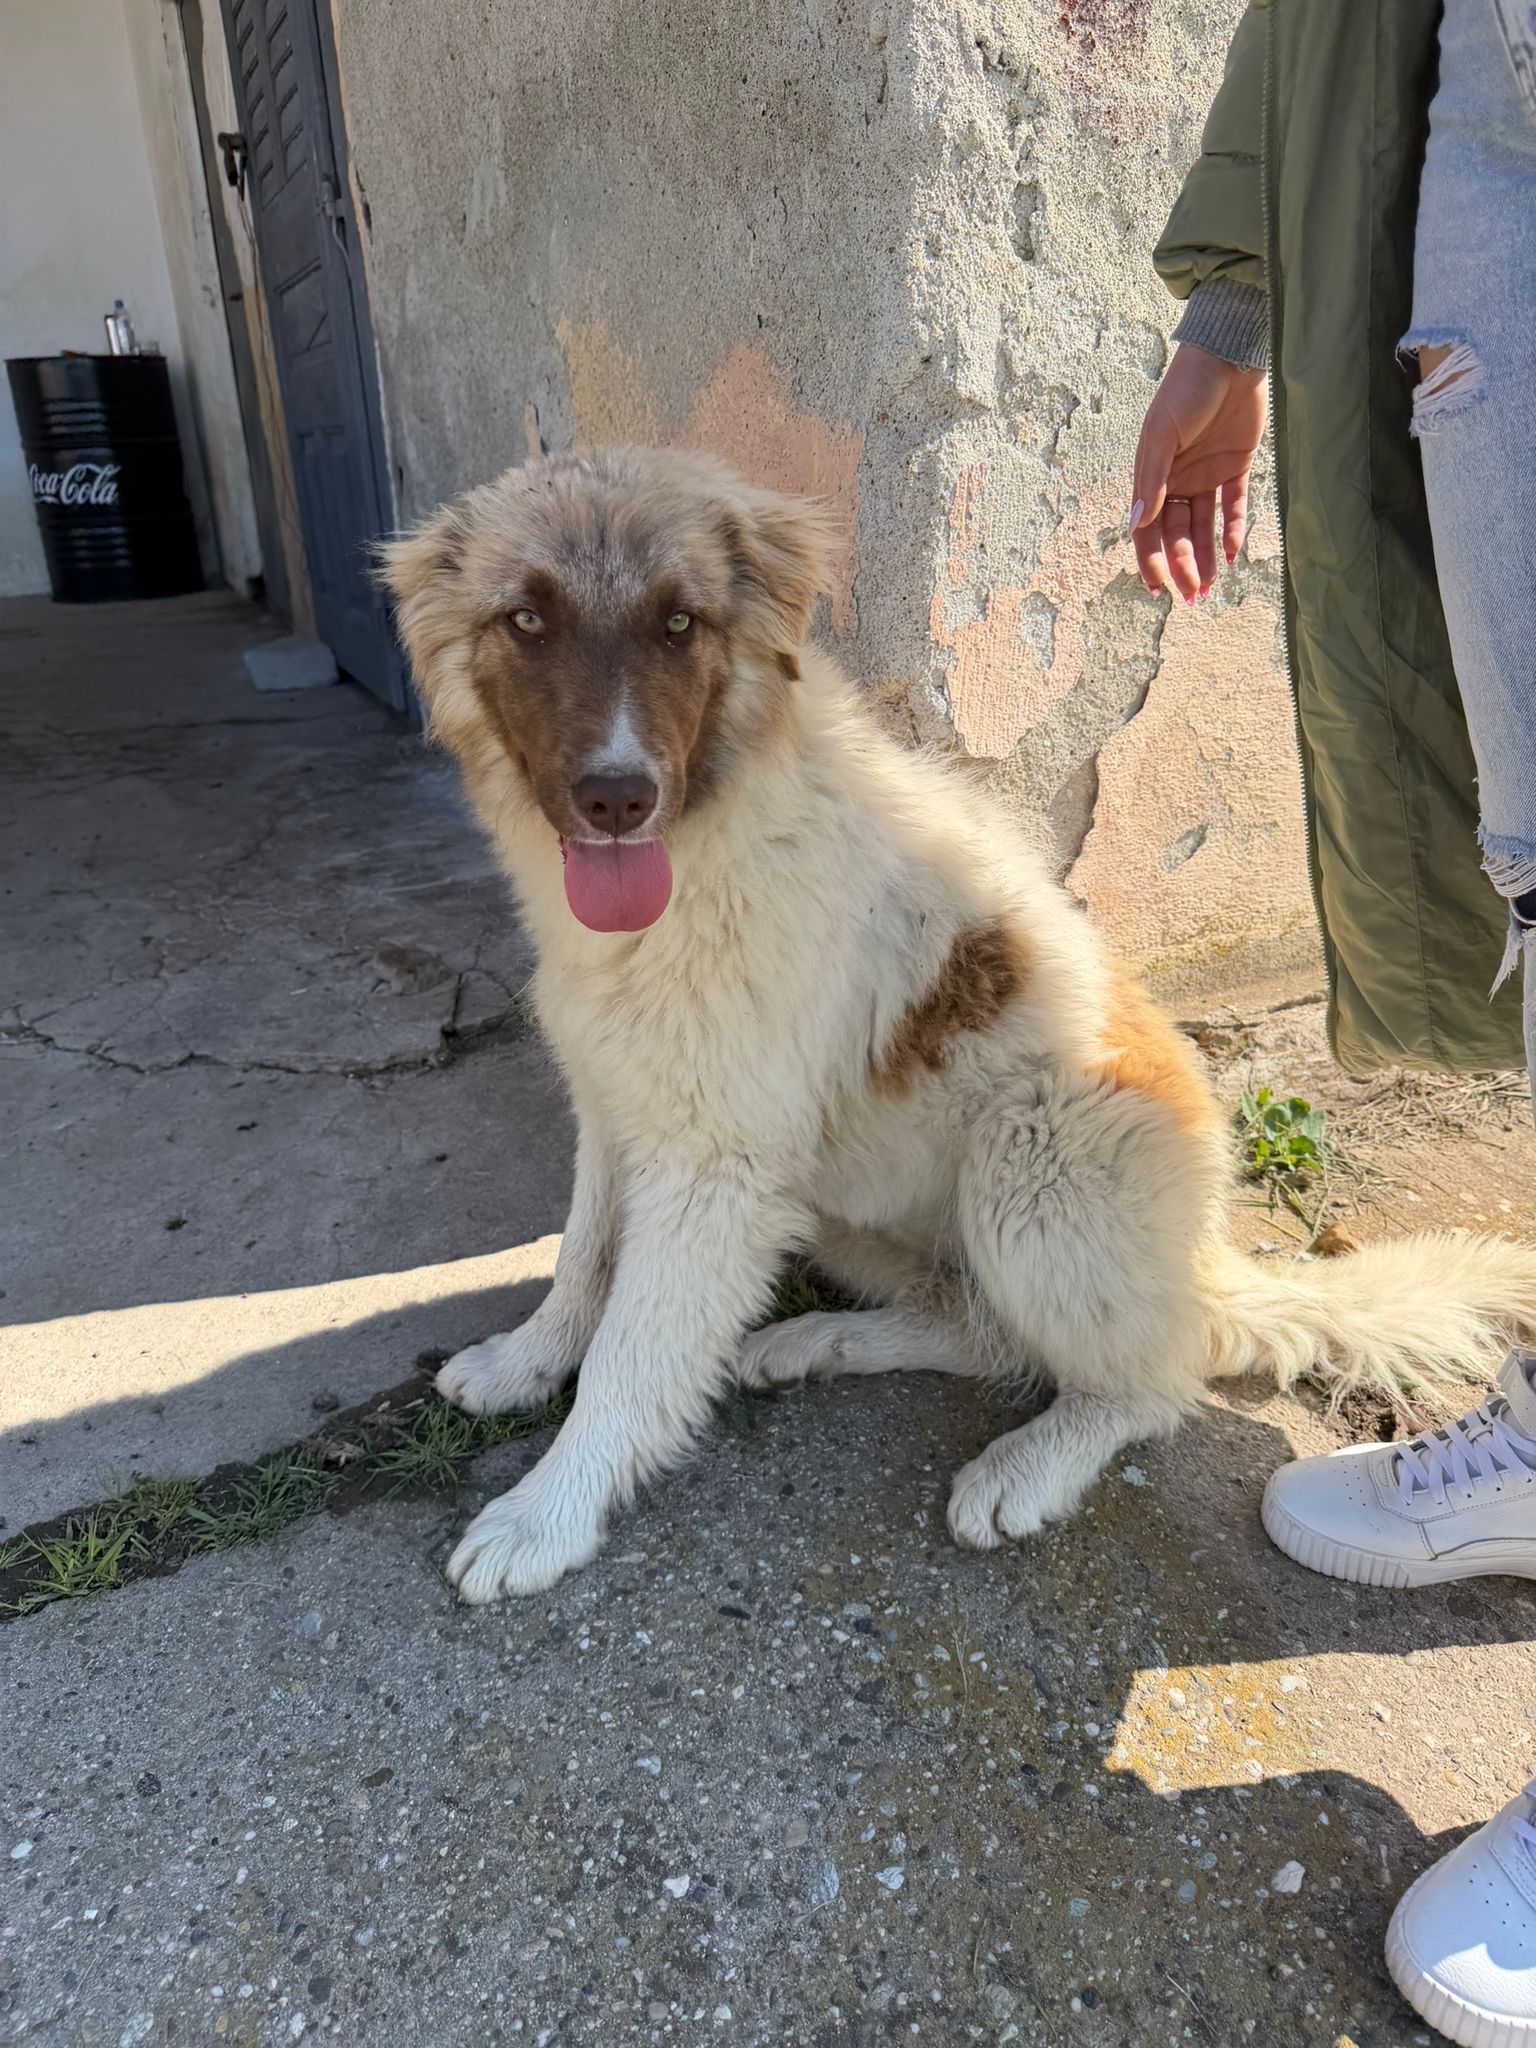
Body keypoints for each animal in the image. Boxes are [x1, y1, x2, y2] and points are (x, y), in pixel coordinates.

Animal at [382, 447, 1536, 1604]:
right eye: (526, 619)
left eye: (679, 623)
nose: (617, 797)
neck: (708, 834)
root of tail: (1208, 1262)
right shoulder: (620, 1103)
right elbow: (583, 1261)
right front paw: (528, 1361)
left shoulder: (715, 1163)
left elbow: (632, 1349)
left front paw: (547, 1512)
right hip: (847, 1205)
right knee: (981, 1329)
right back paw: (820, 1340)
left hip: (1032, 1159)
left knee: (1153, 1377)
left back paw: (1031, 1461)